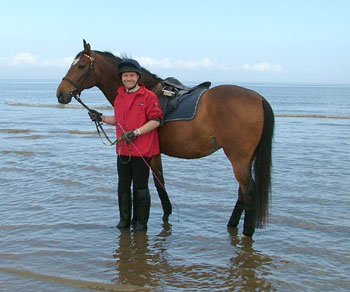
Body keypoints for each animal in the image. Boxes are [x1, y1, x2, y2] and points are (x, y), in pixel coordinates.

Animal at [56, 40, 274, 237]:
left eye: (81, 66)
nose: (60, 94)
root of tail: (259, 98)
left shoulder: (150, 153)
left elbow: (156, 183)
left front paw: (152, 217)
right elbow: (153, 183)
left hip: (238, 158)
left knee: (248, 190)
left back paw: (247, 232)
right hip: (245, 159)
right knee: (242, 191)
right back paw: (232, 225)